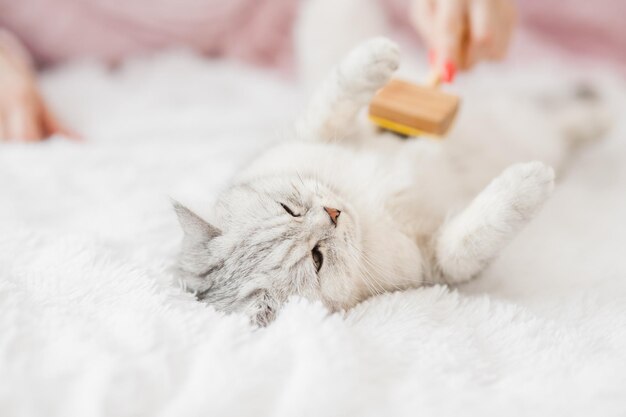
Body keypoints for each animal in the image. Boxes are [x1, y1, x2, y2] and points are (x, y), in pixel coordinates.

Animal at [172, 38, 604, 324]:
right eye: (317, 258)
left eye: (289, 208)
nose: (332, 213)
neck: (364, 207)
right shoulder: (438, 266)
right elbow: (469, 241)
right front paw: (527, 183)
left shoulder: (306, 134)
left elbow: (331, 100)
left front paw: (374, 58)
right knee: (565, 121)